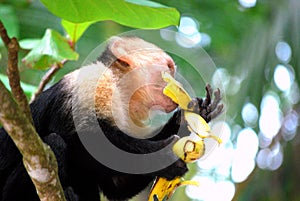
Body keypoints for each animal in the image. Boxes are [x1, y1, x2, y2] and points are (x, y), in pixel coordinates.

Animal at [0, 36, 223, 201]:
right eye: (169, 67)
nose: (177, 82)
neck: (120, 89)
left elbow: (116, 182)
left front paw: (194, 114)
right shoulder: (93, 81)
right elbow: (84, 142)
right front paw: (164, 158)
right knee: (55, 143)